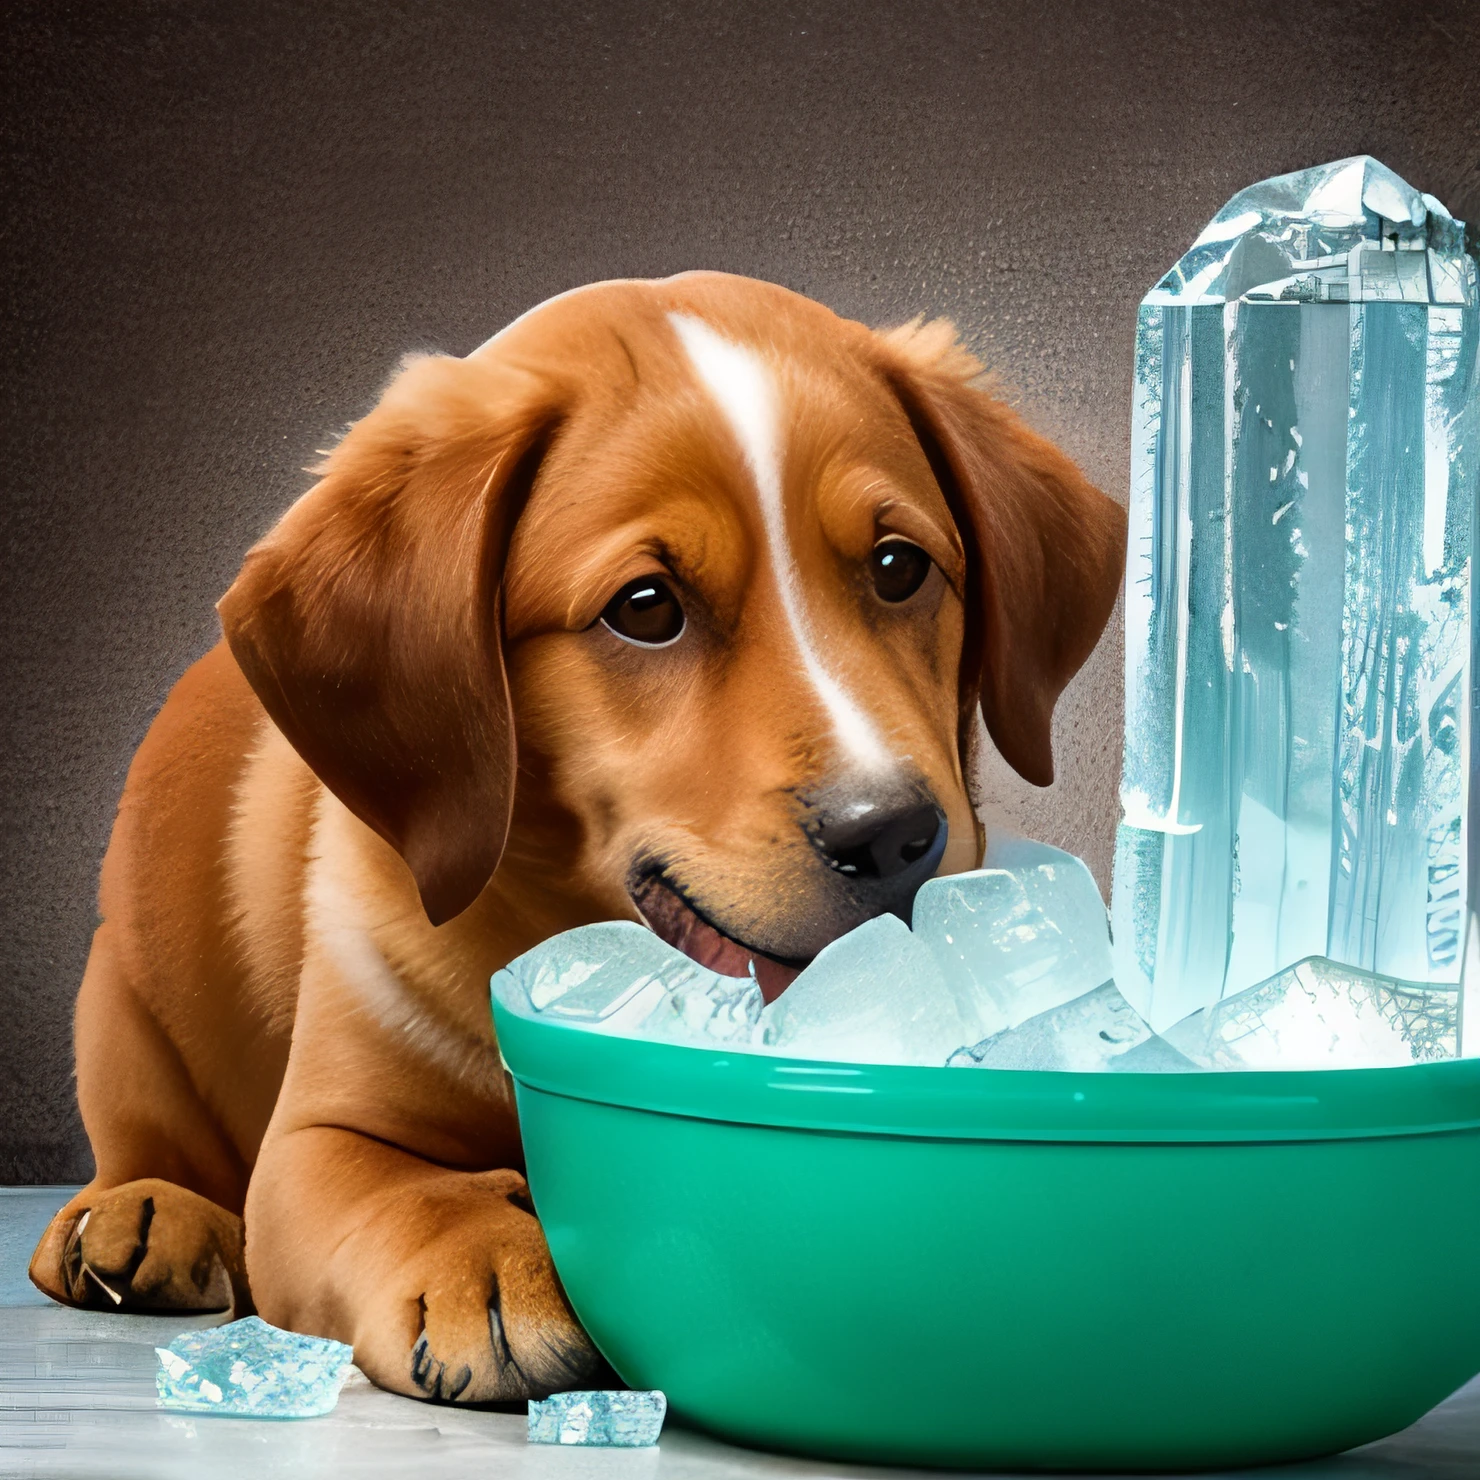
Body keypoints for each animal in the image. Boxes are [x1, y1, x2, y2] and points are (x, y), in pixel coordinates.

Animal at [31, 275, 1118, 1397]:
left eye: (900, 567)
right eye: (644, 608)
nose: (896, 835)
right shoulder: (316, 1139)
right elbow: (410, 1189)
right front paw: (484, 1262)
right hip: (123, 1010)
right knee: (147, 1133)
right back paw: (137, 1214)